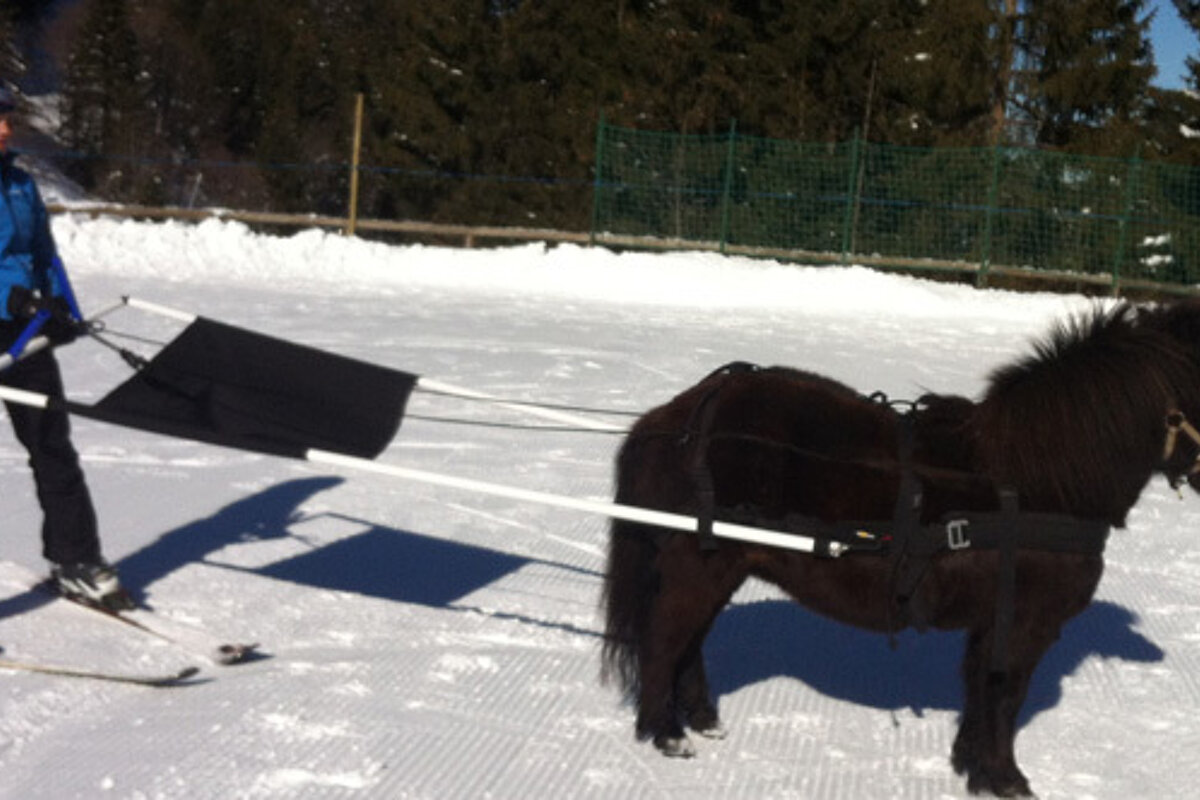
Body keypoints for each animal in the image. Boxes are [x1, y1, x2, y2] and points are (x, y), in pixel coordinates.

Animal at [601, 299, 1200, 797]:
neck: (1039, 479)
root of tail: (679, 417)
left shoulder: (994, 621)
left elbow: (981, 692)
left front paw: (972, 769)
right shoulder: (1025, 622)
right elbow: (1005, 696)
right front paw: (1006, 779)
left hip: (720, 563)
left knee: (689, 642)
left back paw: (701, 719)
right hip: (699, 564)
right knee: (664, 639)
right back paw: (666, 733)